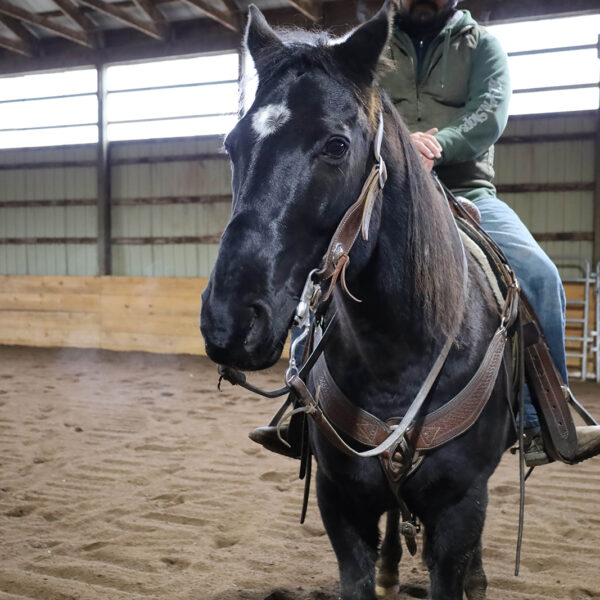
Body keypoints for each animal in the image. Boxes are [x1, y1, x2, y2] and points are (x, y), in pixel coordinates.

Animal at [200, 3, 510, 596]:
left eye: (337, 145)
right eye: (231, 144)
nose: (230, 322)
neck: (398, 354)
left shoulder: (459, 510)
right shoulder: (339, 503)